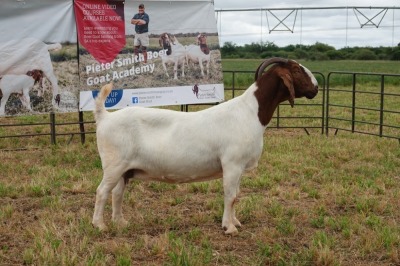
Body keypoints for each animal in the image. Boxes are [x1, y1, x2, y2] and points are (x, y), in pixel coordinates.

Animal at [91, 58, 318, 235]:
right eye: (296, 69)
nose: (315, 87)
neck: (250, 111)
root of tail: (105, 117)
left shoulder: (238, 167)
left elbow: (236, 194)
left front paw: (235, 222)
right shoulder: (232, 163)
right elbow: (231, 195)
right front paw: (229, 227)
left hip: (125, 170)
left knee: (117, 193)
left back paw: (121, 222)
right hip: (114, 165)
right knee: (102, 191)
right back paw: (99, 225)